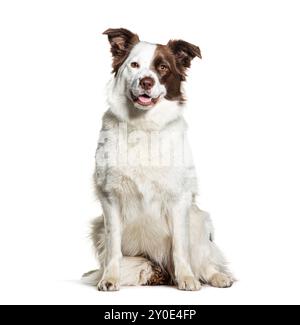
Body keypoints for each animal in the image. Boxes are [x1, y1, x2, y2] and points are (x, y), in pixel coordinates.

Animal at [82, 28, 234, 292]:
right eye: (134, 65)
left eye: (162, 67)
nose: (146, 81)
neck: (144, 127)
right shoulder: (110, 197)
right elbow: (113, 247)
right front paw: (110, 278)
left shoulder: (179, 197)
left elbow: (181, 247)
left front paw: (187, 278)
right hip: (98, 227)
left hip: (199, 220)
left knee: (203, 258)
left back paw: (215, 276)